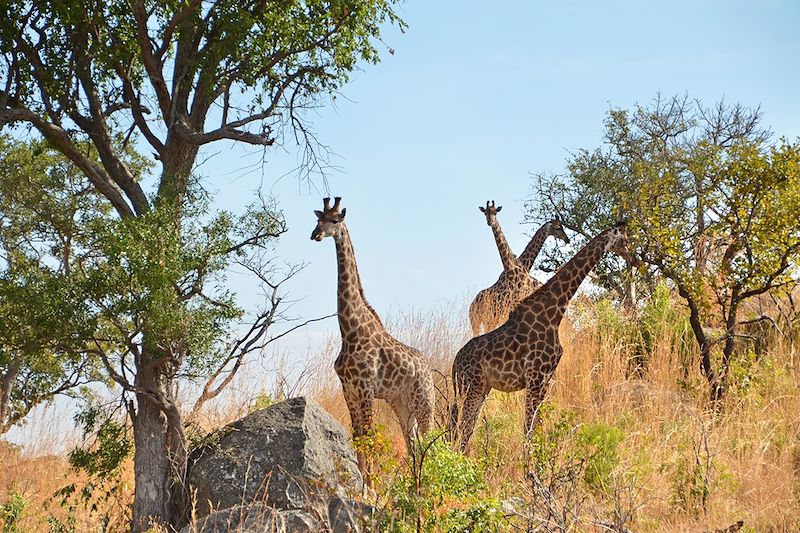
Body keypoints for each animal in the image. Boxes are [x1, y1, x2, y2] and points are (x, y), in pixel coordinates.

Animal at [310, 197, 434, 472]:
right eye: (317, 219)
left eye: (335, 219)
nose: (315, 235)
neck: (349, 330)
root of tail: (428, 369)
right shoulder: (348, 389)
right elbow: (358, 440)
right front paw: (364, 480)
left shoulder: (365, 388)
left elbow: (369, 440)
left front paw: (371, 482)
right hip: (401, 403)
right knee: (413, 443)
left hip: (424, 400)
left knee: (432, 440)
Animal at [450, 223, 632, 448]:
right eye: (624, 239)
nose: (632, 257)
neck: (554, 312)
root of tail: (455, 363)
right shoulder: (536, 377)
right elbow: (528, 428)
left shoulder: (546, 379)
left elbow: (536, 426)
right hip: (471, 385)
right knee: (462, 426)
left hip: (481, 387)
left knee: (465, 427)